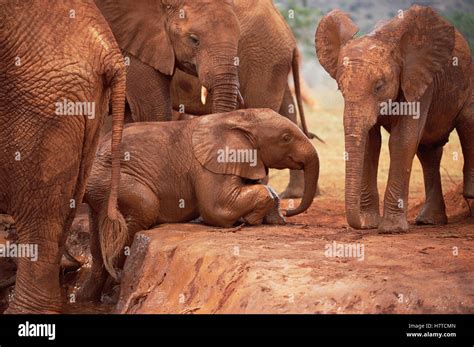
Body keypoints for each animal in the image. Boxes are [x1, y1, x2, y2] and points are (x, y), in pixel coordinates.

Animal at [79, 109, 320, 302]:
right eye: (286, 138)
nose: (291, 211)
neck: (241, 117)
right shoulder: (211, 164)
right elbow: (217, 208)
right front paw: (252, 220)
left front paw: (272, 218)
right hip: (109, 178)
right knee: (146, 206)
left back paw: (91, 296)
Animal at [314, 4, 474, 234]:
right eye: (340, 89)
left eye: (379, 86)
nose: (359, 224)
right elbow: (371, 144)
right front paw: (370, 223)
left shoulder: (419, 81)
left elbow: (402, 141)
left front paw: (391, 229)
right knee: (428, 152)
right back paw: (429, 221)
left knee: (467, 123)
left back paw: (468, 194)